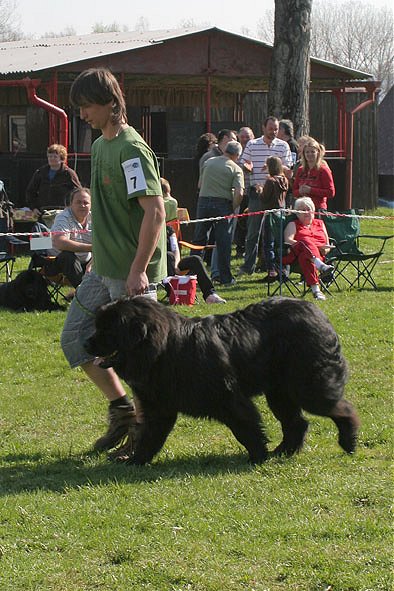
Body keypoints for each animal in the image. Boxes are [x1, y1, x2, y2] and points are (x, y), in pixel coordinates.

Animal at [85, 298, 360, 464]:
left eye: (108, 330)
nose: (87, 342)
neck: (165, 349)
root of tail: (317, 312)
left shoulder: (228, 399)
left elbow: (245, 428)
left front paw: (258, 456)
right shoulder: (158, 408)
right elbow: (149, 435)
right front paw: (136, 460)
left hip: (308, 386)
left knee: (342, 408)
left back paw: (348, 442)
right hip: (279, 392)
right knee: (297, 422)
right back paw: (284, 452)